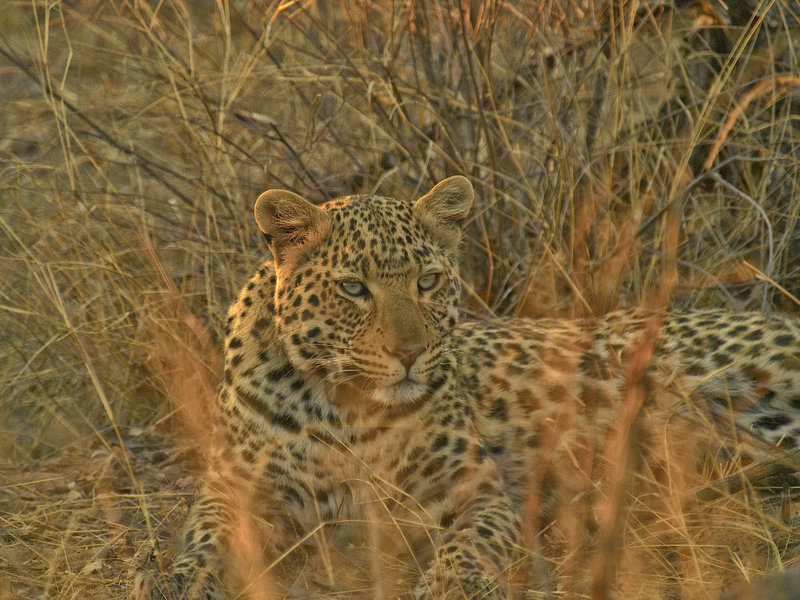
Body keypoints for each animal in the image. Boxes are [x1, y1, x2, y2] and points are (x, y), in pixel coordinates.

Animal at [133, 176, 800, 600]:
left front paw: (450, 585)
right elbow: (206, 540)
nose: (409, 354)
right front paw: (176, 579)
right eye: (353, 288)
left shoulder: (479, 495)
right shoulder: (238, 492)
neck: (348, 407)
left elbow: (469, 546)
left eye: (428, 281)